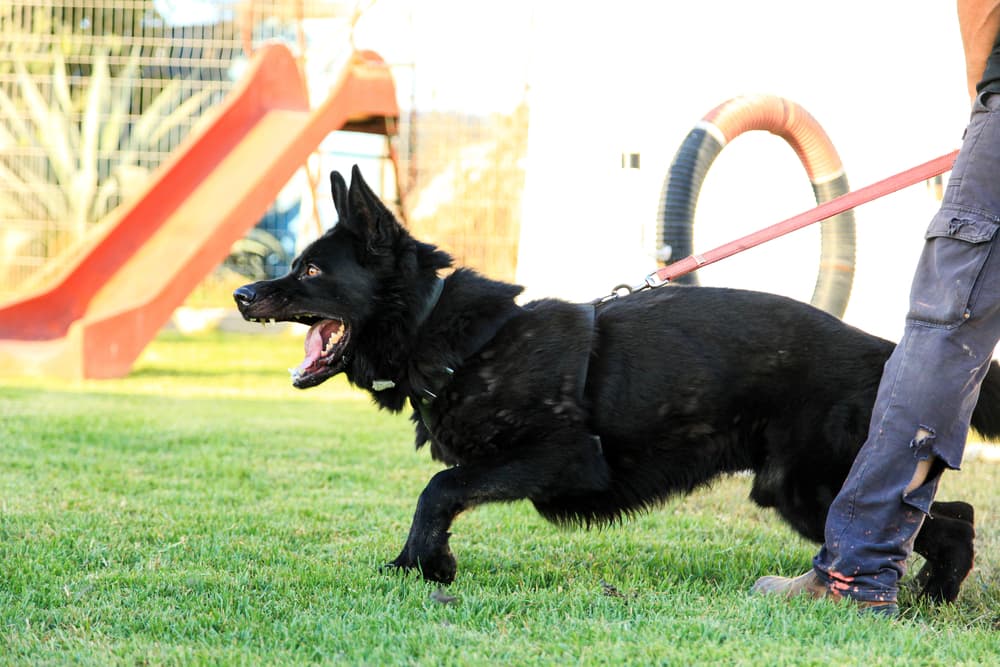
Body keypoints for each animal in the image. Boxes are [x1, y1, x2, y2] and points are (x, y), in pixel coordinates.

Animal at [236, 166, 1000, 600]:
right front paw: (414, 564)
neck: (451, 335)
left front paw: (429, 564)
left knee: (939, 521)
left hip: (809, 488)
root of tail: (885, 347)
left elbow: (439, 488)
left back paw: (930, 592)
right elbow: (440, 490)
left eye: (310, 270)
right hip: (804, 488)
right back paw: (932, 593)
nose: (243, 294)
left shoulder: (559, 458)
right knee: (949, 515)